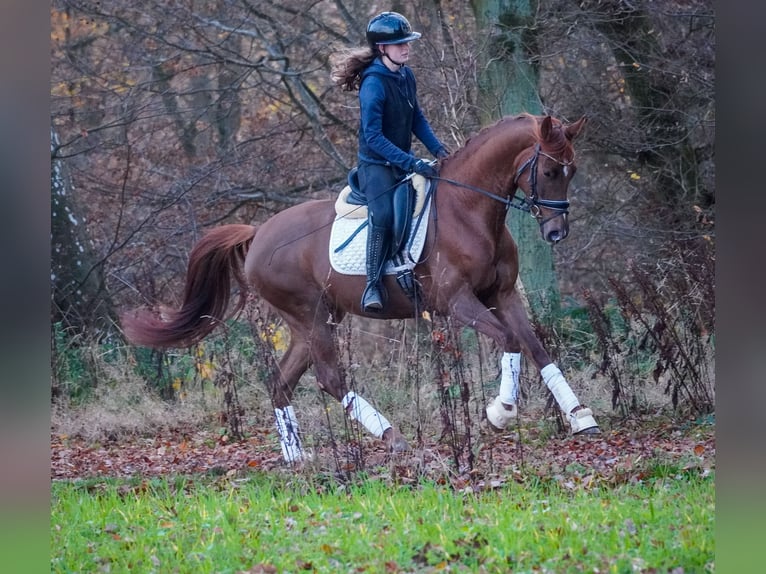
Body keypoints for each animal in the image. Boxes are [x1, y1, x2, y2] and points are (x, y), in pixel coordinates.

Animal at [121, 113, 600, 463]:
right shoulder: (458, 302)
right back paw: (393, 438)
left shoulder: (503, 295)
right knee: (330, 379)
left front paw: (581, 417)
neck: (469, 209)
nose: (556, 232)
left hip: (312, 321)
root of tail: (257, 234)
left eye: (573, 170)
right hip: (311, 315)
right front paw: (500, 412)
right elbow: (510, 341)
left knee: (281, 381)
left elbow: (536, 347)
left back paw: (297, 457)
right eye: (550, 170)